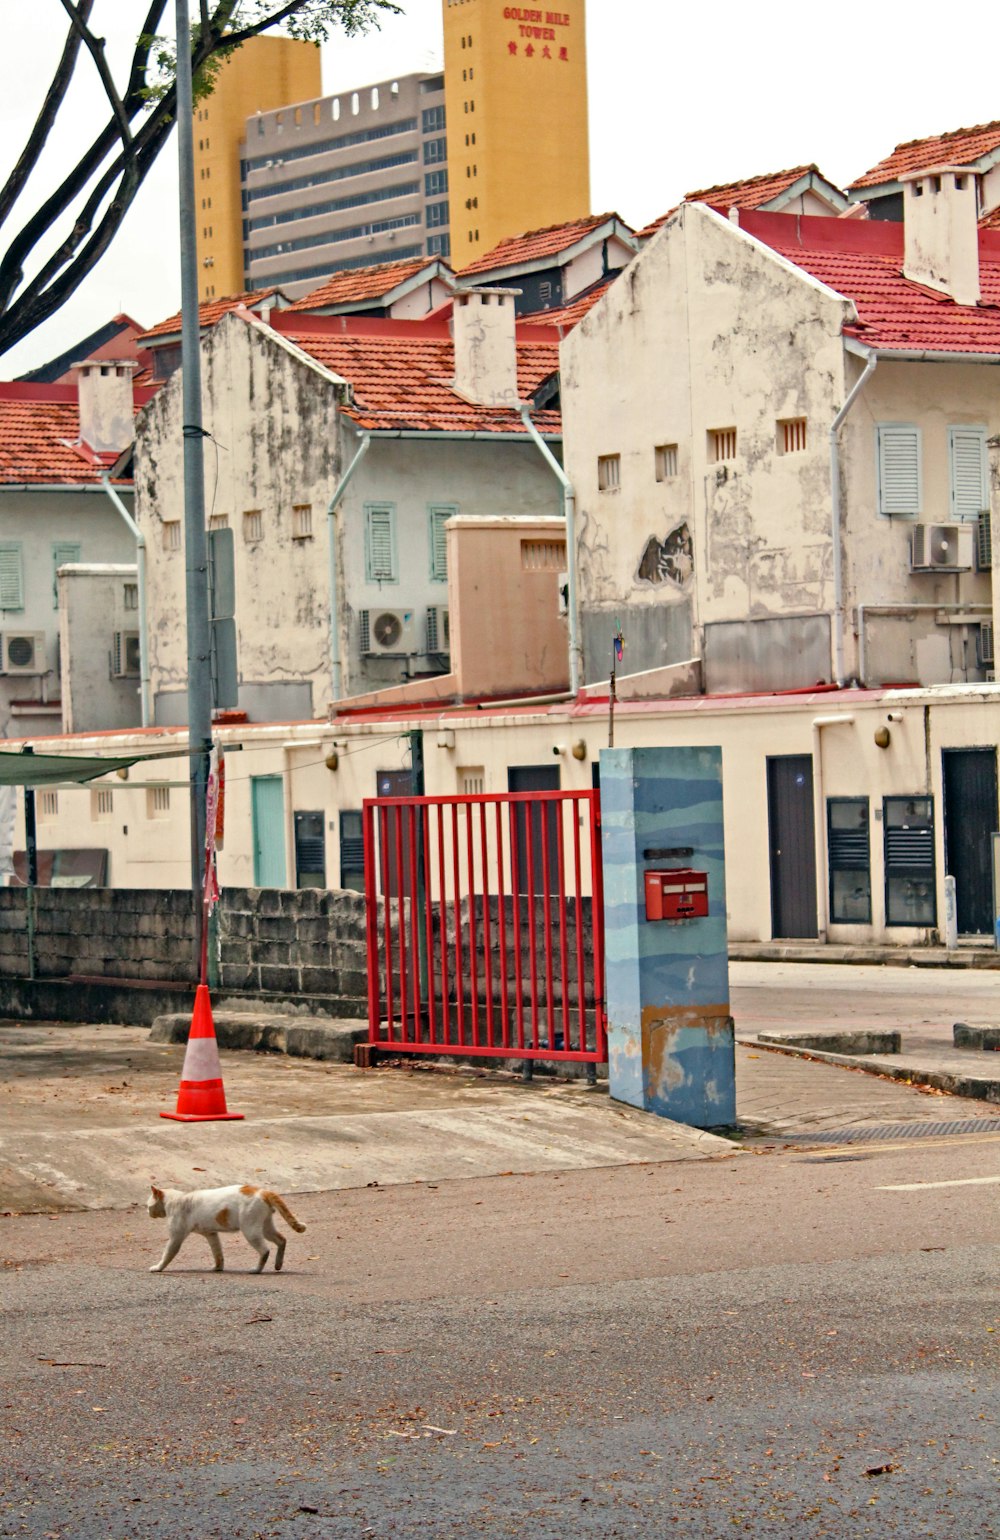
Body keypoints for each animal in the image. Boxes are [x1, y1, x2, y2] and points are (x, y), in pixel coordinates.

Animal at [146, 1176, 303, 1275]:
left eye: (148, 1206)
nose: (147, 1212)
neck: (174, 1200)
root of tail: (262, 1191)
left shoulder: (176, 1237)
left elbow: (167, 1253)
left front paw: (158, 1268)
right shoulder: (211, 1234)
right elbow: (217, 1253)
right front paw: (218, 1267)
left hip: (250, 1230)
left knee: (265, 1250)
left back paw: (256, 1270)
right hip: (265, 1227)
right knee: (282, 1240)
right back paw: (278, 1264)